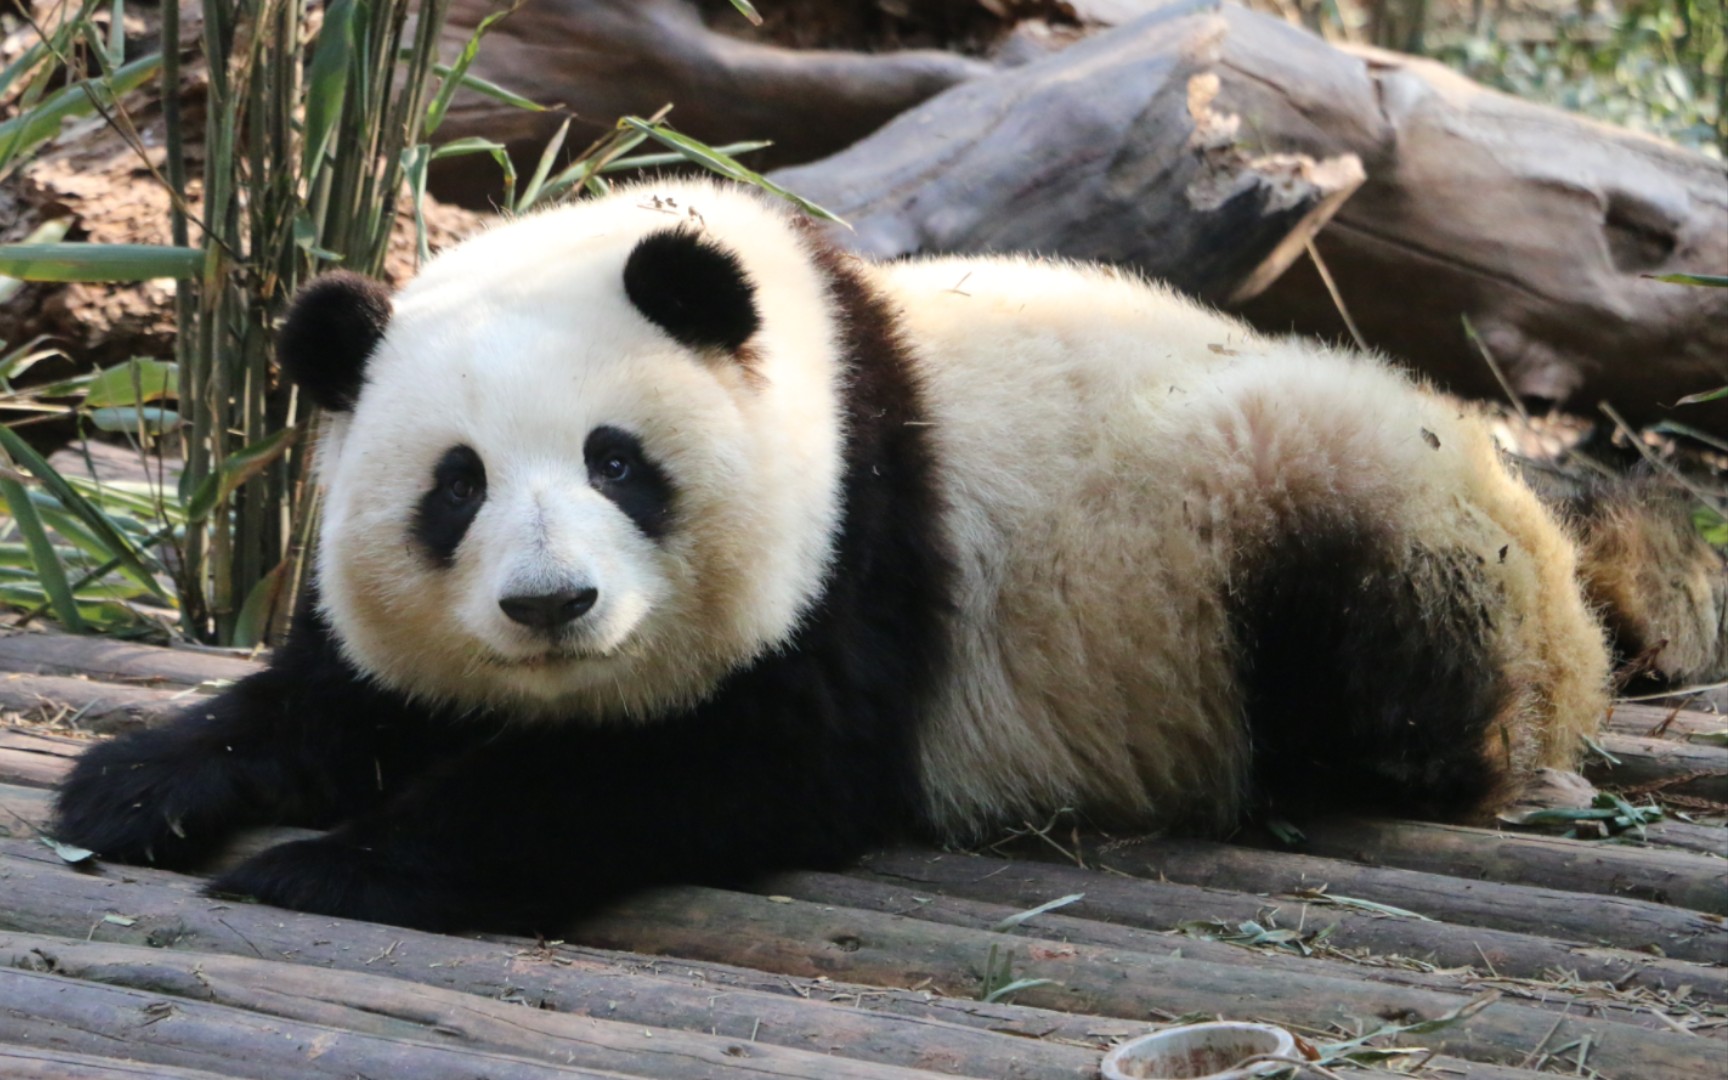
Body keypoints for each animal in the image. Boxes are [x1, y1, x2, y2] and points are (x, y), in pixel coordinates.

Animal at [57, 181, 1617, 933]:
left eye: (617, 462)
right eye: (457, 486)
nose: (553, 606)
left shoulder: (862, 551)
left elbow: (733, 767)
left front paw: (324, 868)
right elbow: (344, 697)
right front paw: (129, 786)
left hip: (1320, 500)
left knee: (1380, 627)